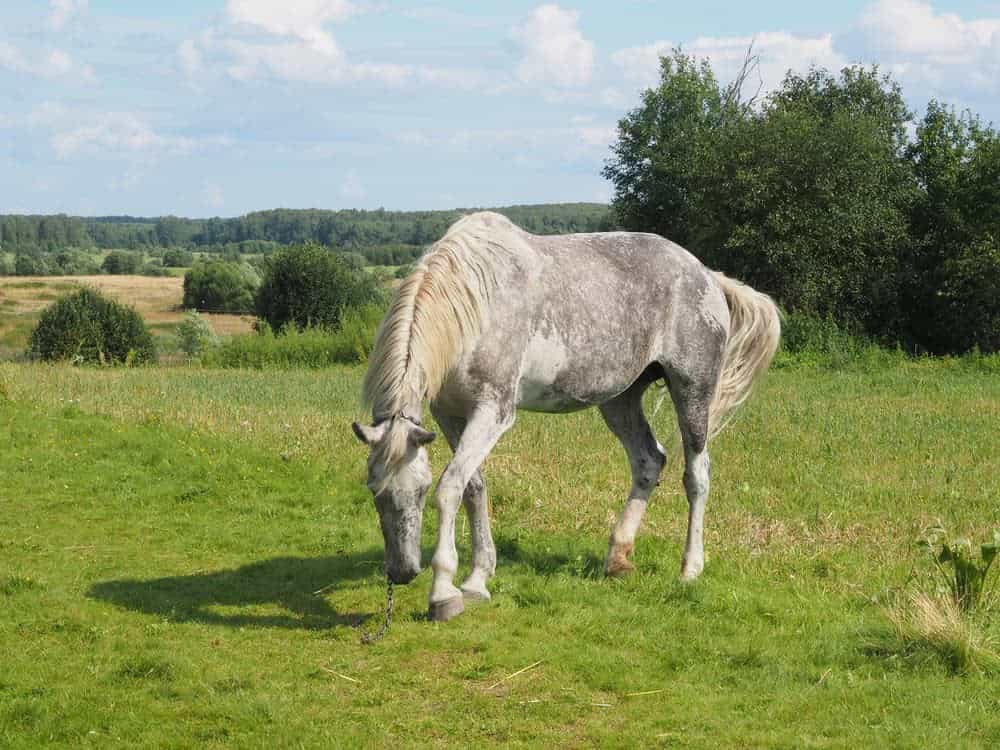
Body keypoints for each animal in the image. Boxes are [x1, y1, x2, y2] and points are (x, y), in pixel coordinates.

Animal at [352, 212, 780, 624]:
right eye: (374, 490)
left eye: (420, 491)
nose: (402, 572)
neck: (476, 303)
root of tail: (707, 275)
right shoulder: (450, 414)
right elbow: (474, 487)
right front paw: (477, 578)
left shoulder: (493, 412)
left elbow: (451, 487)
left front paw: (444, 591)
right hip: (620, 400)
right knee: (648, 461)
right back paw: (617, 557)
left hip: (692, 391)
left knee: (697, 475)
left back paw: (690, 567)